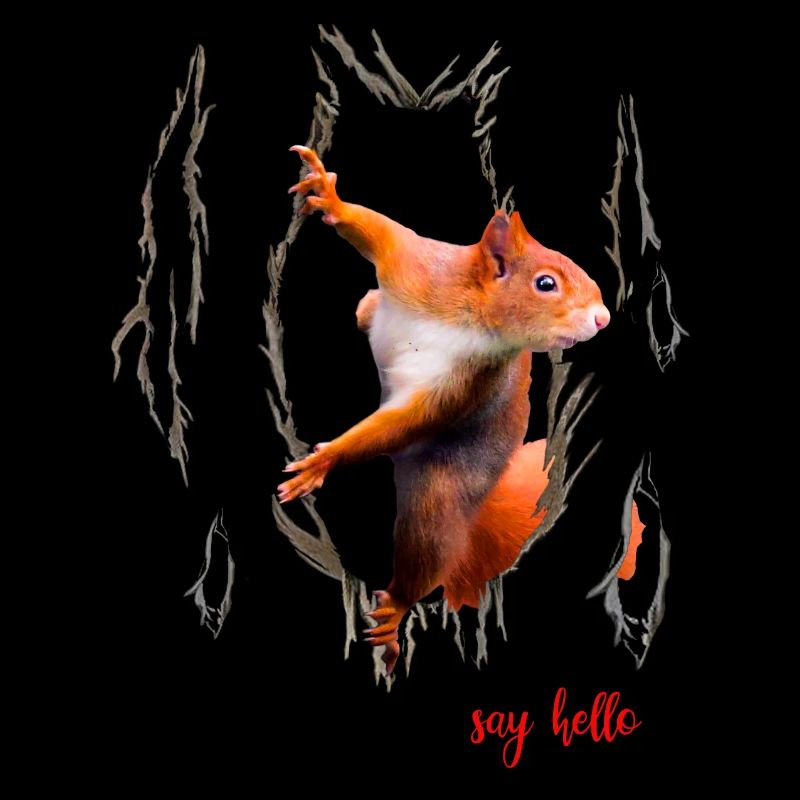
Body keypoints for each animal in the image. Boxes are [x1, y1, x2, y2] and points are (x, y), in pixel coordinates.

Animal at [278, 146, 643, 673]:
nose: (603, 318)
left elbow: (404, 424)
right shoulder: (419, 266)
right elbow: (377, 230)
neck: (474, 318)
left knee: (425, 557)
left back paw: (397, 608)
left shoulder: (467, 385)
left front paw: (325, 460)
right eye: (546, 283)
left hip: (437, 498)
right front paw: (330, 197)